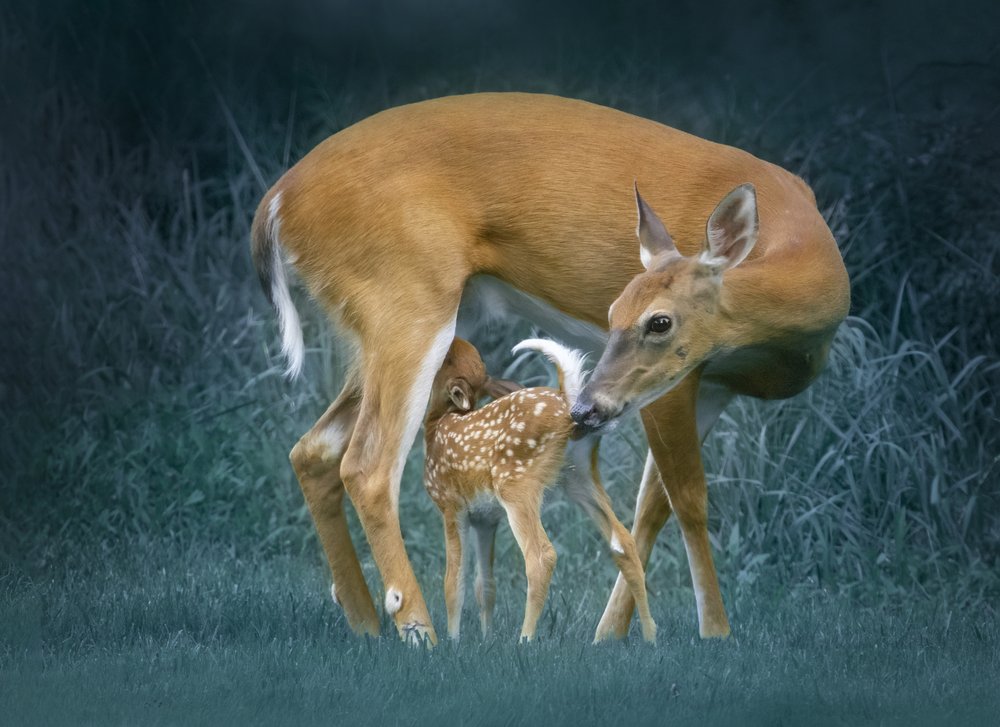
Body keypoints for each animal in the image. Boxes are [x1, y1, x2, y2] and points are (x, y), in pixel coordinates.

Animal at [422, 336, 657, 643]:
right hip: (580, 478)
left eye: (448, 359)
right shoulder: (485, 518)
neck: (435, 426)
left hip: (517, 484)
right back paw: (650, 635)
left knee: (541, 556)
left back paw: (525, 639)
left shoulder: (449, 504)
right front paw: (486, 638)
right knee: (625, 542)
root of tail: (567, 403)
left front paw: (452, 642)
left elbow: (453, 582)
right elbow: (484, 585)